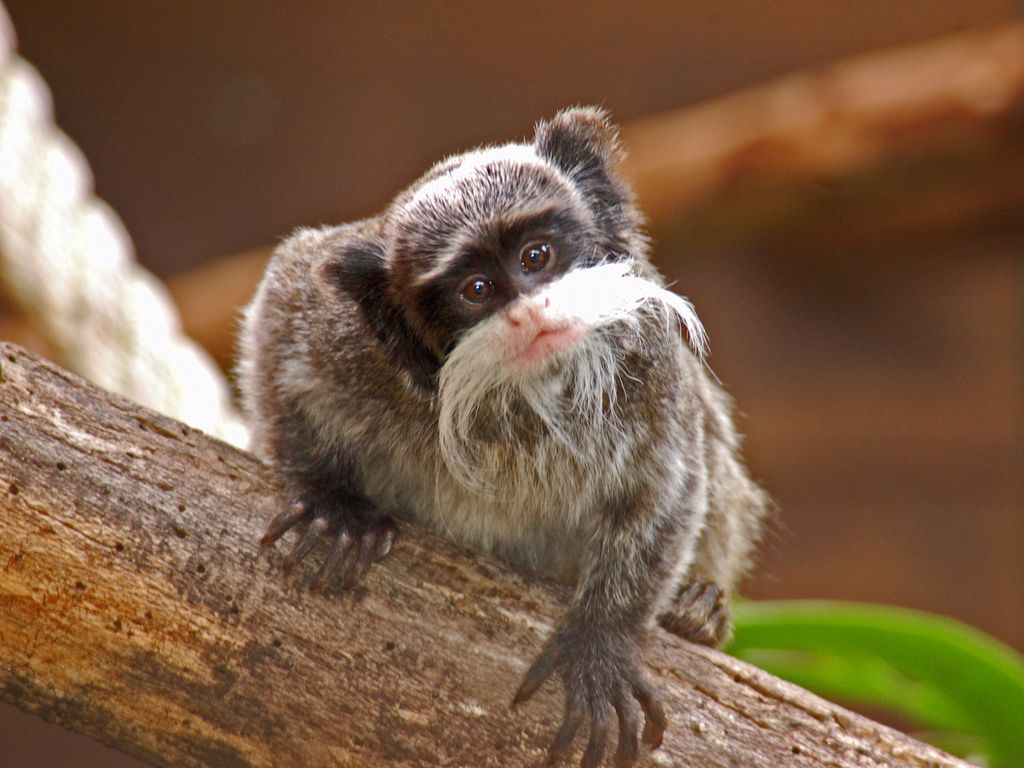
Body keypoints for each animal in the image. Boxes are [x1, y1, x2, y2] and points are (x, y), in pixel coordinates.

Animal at [237, 105, 770, 765]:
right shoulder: (336, 329)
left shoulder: (651, 357)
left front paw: (603, 639)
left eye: (537, 257)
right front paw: (330, 502)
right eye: (478, 291)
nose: (531, 311)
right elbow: (277, 326)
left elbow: (666, 488)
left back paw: (697, 612)